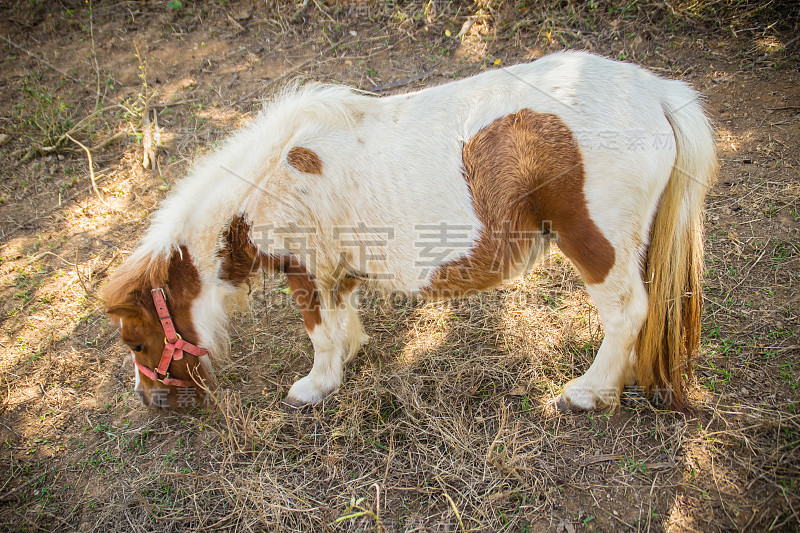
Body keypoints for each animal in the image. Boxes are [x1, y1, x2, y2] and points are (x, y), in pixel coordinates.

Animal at [101, 52, 720, 410]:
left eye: (136, 341)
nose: (152, 401)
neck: (266, 179)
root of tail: (656, 93)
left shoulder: (307, 271)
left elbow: (319, 332)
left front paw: (315, 387)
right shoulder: (339, 268)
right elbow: (342, 320)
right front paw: (347, 357)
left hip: (597, 244)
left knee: (627, 314)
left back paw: (589, 393)